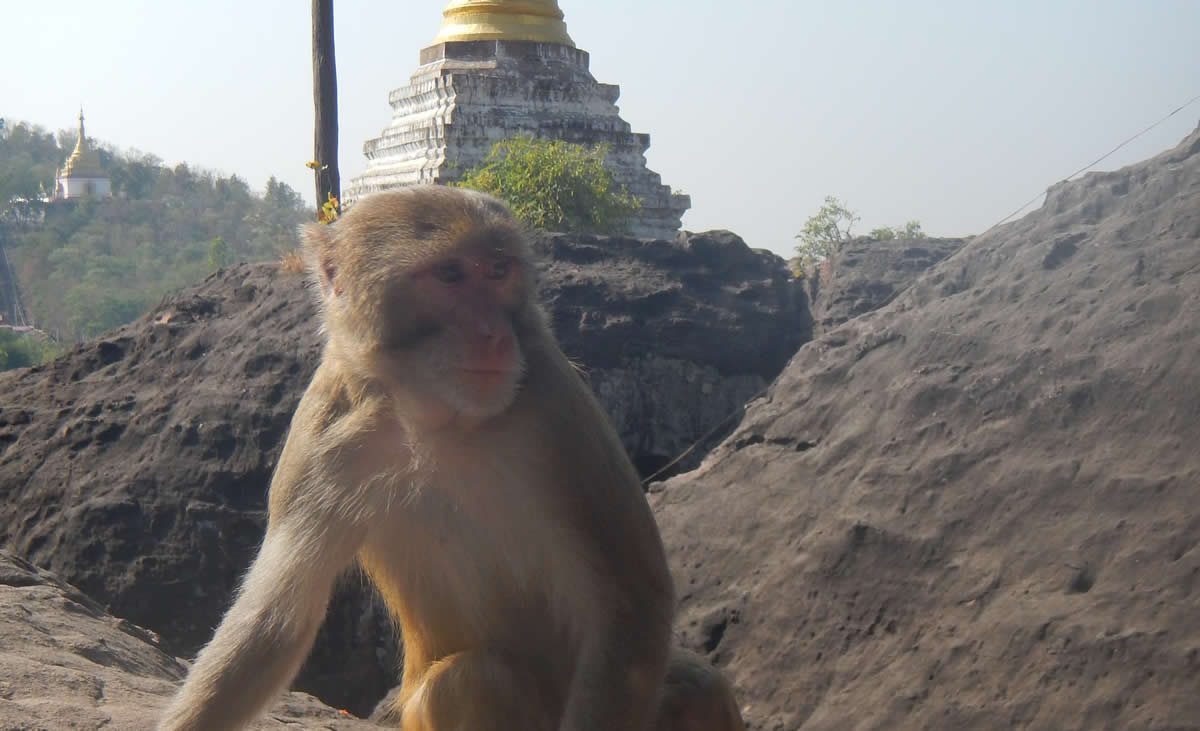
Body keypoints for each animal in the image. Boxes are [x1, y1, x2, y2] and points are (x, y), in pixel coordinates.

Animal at [158, 185, 744, 731]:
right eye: (450, 275)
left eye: (499, 271)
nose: (494, 335)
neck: (437, 418)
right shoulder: (318, 439)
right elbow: (274, 623)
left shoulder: (555, 405)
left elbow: (631, 605)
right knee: (470, 681)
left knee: (696, 687)